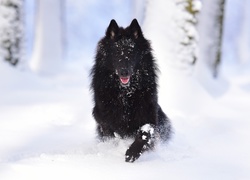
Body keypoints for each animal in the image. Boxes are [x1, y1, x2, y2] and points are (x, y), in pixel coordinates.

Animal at [91, 19, 171, 162]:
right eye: (117, 53)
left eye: (131, 53)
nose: (124, 72)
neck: (125, 94)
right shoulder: (101, 115)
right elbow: (110, 132)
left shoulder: (148, 115)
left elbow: (144, 134)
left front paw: (132, 152)